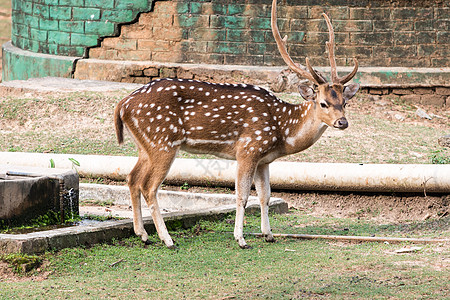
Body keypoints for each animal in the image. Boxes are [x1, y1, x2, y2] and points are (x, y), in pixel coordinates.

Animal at [115, 0, 358, 248]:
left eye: (345, 102)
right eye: (323, 103)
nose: (342, 121)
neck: (282, 130)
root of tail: (123, 104)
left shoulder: (264, 160)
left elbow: (265, 196)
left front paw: (268, 234)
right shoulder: (248, 149)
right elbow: (242, 195)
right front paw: (241, 239)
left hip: (145, 145)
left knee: (132, 178)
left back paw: (142, 234)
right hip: (163, 142)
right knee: (149, 186)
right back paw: (167, 239)